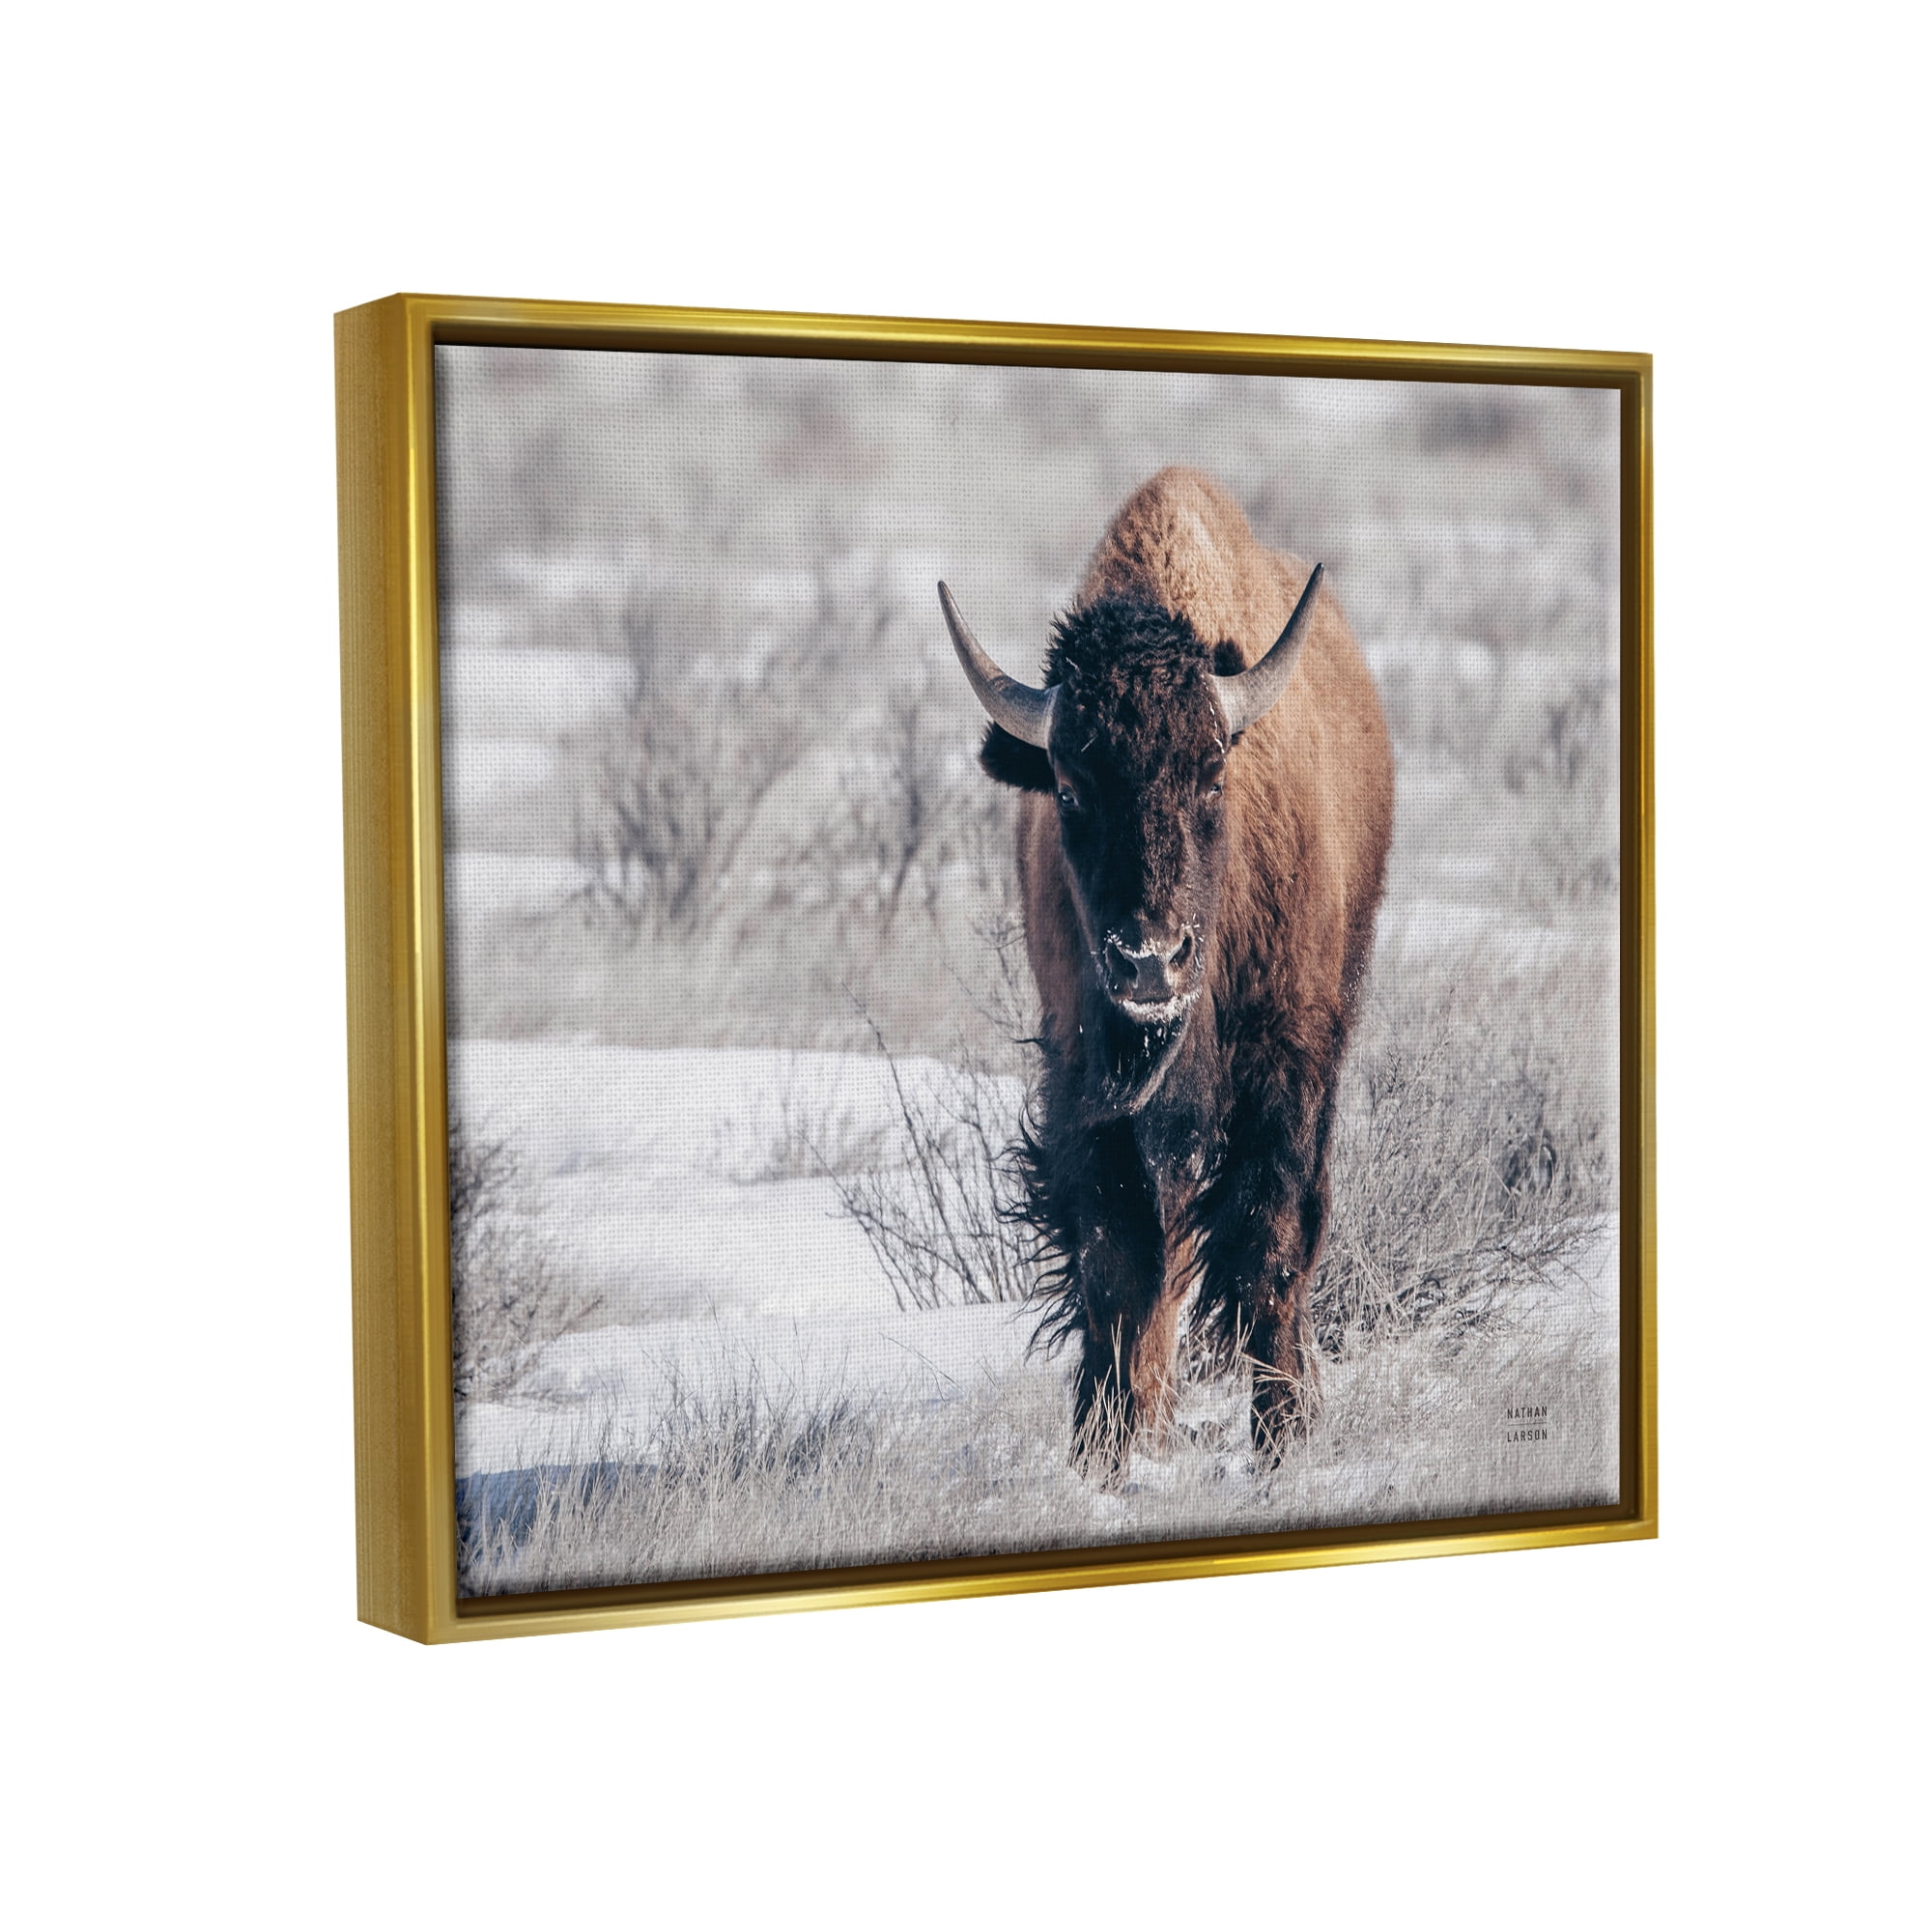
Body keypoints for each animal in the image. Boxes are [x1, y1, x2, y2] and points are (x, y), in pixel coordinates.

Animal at [941, 467, 1394, 1466]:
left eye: (1212, 776)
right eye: (1070, 790)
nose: (1150, 964)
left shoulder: (1287, 1066)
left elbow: (1268, 1242)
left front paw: (1283, 1437)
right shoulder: (1086, 1076)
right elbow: (1120, 1260)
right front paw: (1105, 1449)